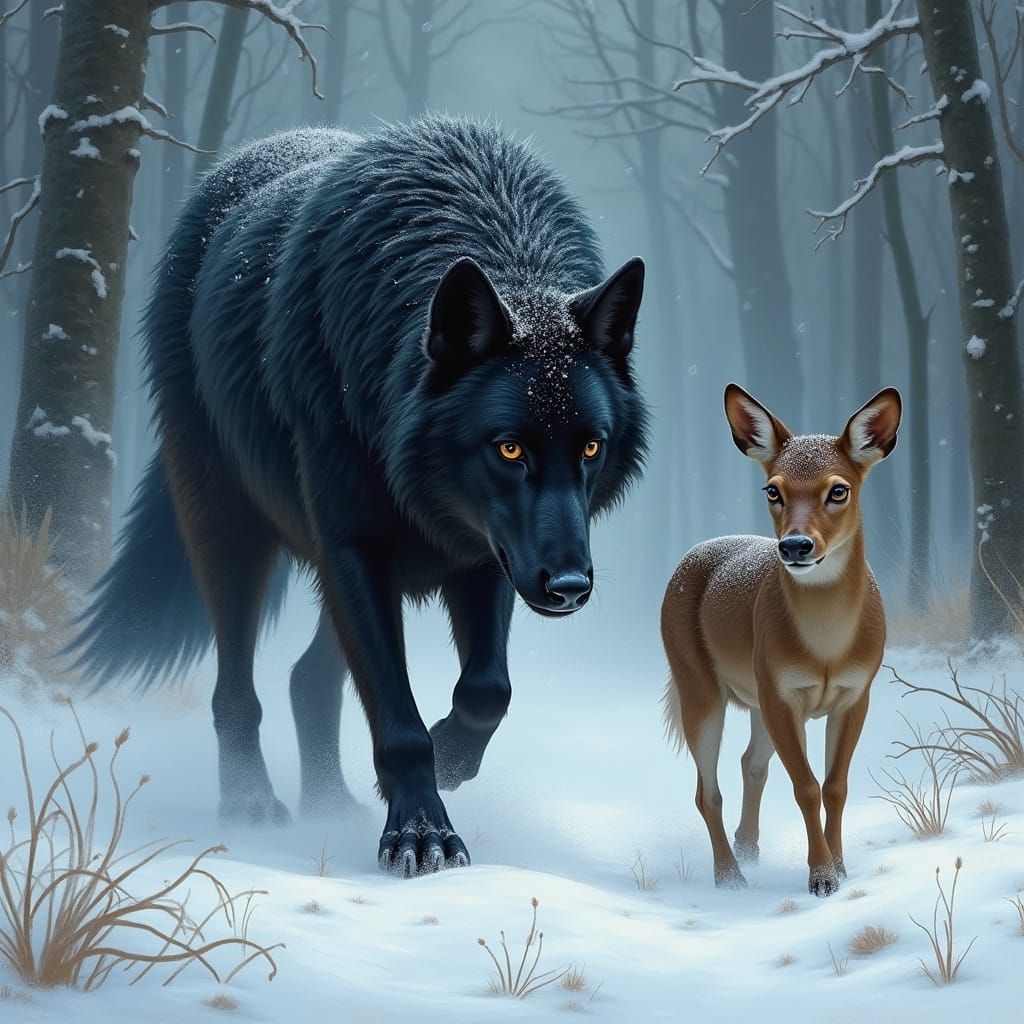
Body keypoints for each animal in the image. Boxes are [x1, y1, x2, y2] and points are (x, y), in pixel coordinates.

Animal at [70, 118, 648, 875]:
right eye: (509, 449)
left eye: (590, 448)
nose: (571, 588)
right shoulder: (356, 544)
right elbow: (398, 720)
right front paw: (422, 835)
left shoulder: (487, 549)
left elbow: (487, 689)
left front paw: (452, 758)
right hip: (232, 528)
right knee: (237, 688)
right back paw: (252, 805)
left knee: (306, 678)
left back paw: (330, 804)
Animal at [661, 383, 901, 897]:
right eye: (773, 489)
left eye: (839, 490)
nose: (795, 546)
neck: (827, 650)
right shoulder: (781, 691)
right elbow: (806, 786)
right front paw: (821, 876)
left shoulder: (856, 692)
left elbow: (835, 785)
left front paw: (841, 868)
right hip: (698, 683)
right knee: (706, 790)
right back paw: (730, 876)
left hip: (755, 697)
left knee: (752, 761)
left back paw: (749, 849)